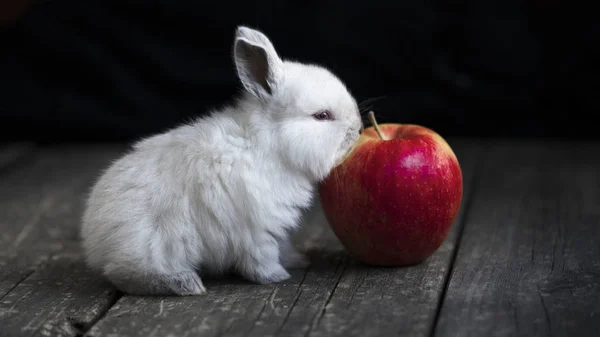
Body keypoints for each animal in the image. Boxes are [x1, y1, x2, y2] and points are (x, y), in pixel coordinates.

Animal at [79, 26, 360, 294]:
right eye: (322, 116)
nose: (357, 130)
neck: (267, 146)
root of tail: (93, 238)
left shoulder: (275, 230)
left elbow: (282, 247)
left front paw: (298, 260)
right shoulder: (256, 229)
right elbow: (261, 260)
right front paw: (277, 276)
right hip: (149, 245)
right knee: (124, 274)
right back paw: (184, 284)